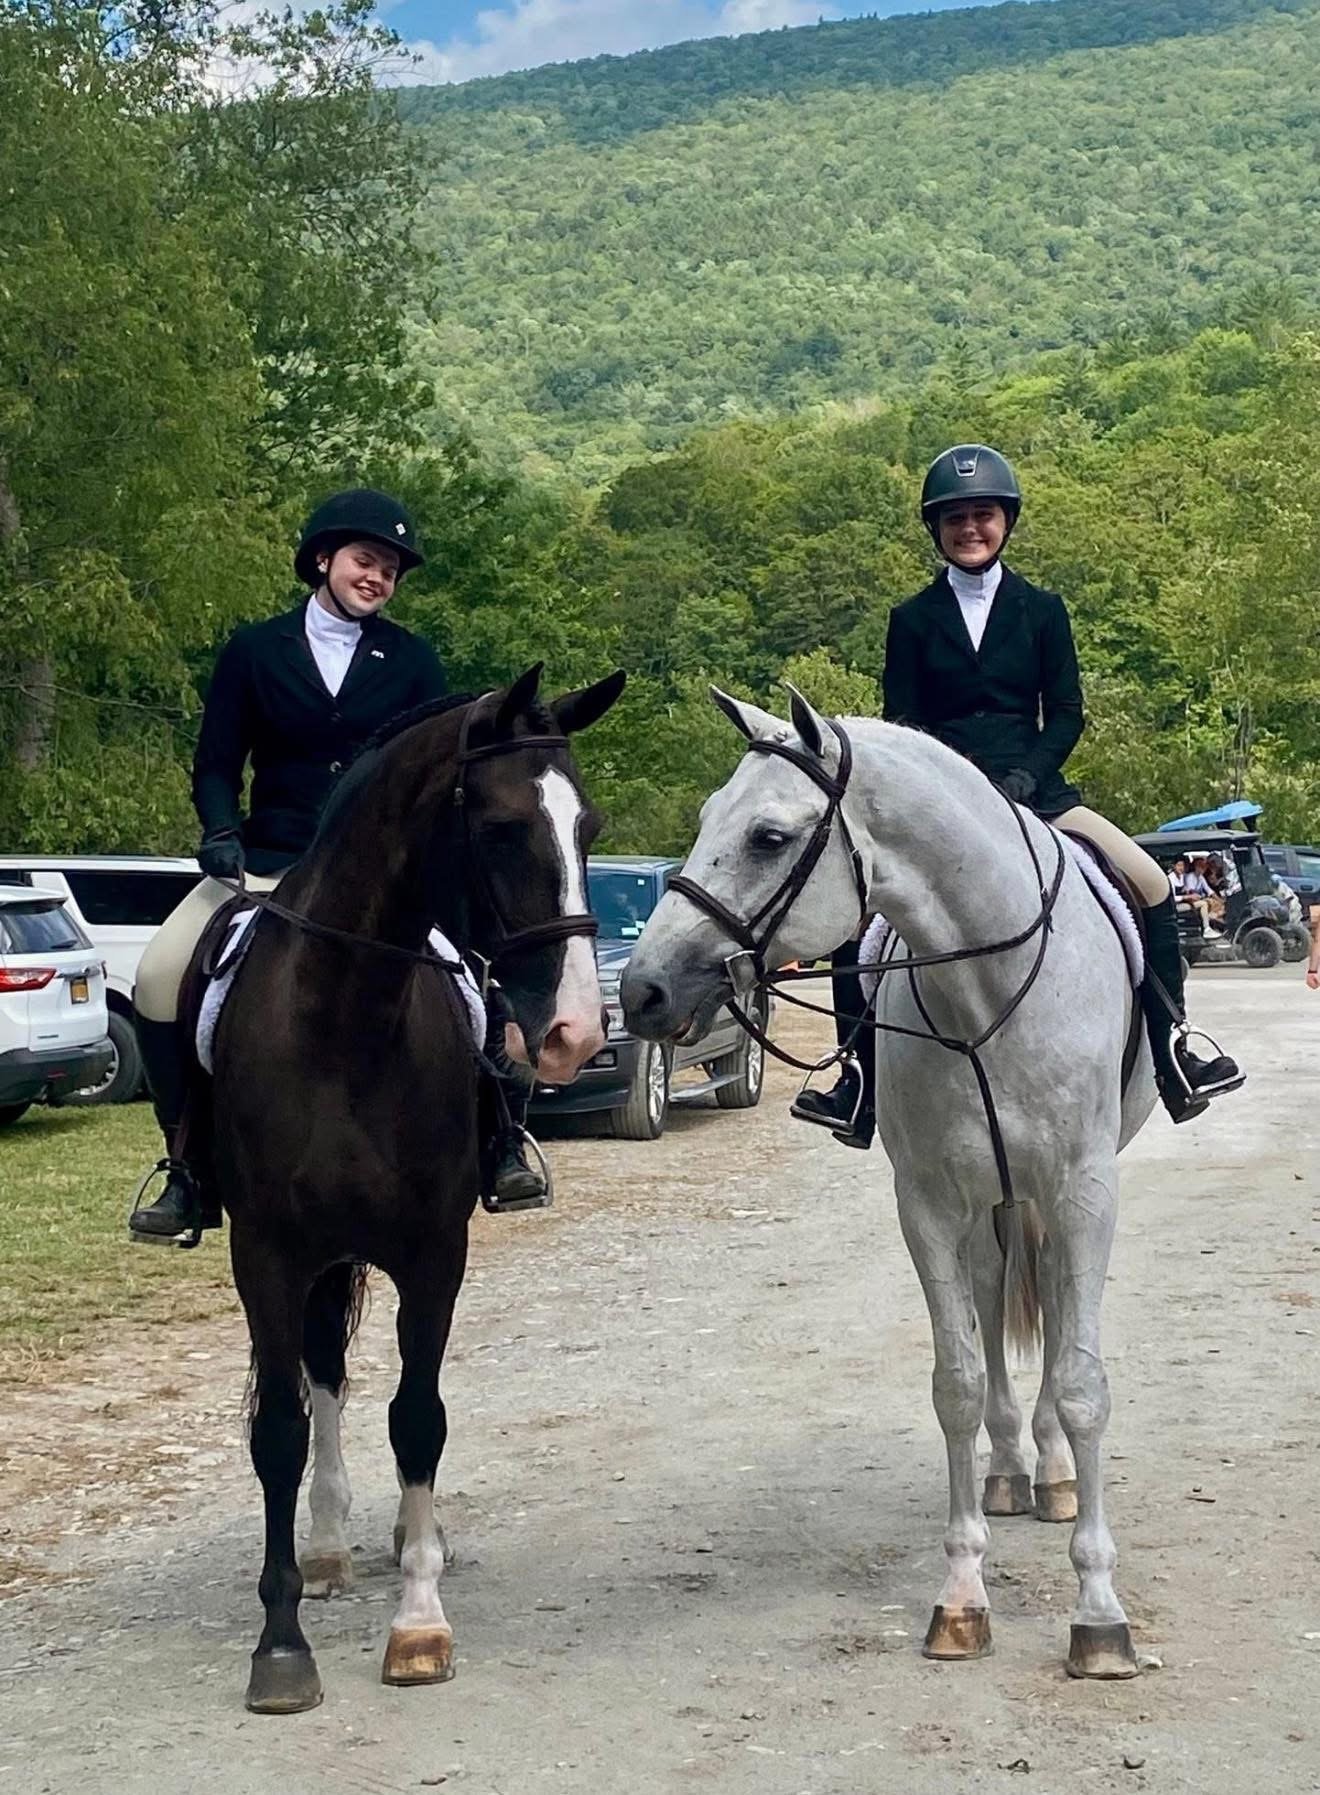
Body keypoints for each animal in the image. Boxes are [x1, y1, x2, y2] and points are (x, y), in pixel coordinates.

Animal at [197, 665, 624, 1714]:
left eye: (589, 826)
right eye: (503, 828)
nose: (573, 1032)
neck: (347, 1017)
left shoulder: (435, 1249)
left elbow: (417, 1417)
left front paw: (419, 1621)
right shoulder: (267, 1251)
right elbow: (280, 1428)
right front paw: (281, 1645)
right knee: (321, 1381)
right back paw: (323, 1545)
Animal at [619, 685, 1157, 1680]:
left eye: (768, 836)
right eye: (708, 817)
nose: (643, 991)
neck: (986, 995)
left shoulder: (1083, 1194)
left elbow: (1081, 1382)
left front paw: (1100, 1611)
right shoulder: (931, 1204)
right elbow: (956, 1380)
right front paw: (962, 1596)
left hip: (1044, 1203)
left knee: (1049, 1310)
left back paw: (1056, 1473)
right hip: (991, 1202)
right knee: (994, 1300)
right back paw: (1010, 1470)